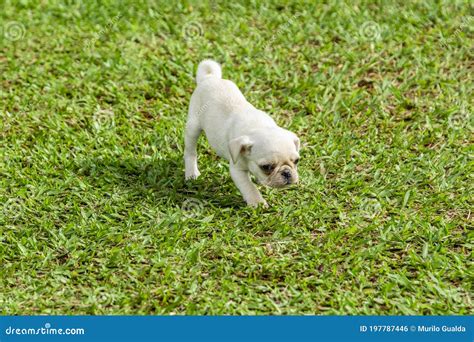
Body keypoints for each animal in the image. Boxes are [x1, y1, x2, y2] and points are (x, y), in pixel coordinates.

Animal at [185, 60, 300, 207]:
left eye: (296, 161)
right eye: (267, 167)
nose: (287, 173)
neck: (258, 127)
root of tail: (209, 78)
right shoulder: (237, 170)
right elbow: (249, 187)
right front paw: (257, 203)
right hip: (193, 127)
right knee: (190, 151)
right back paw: (191, 173)